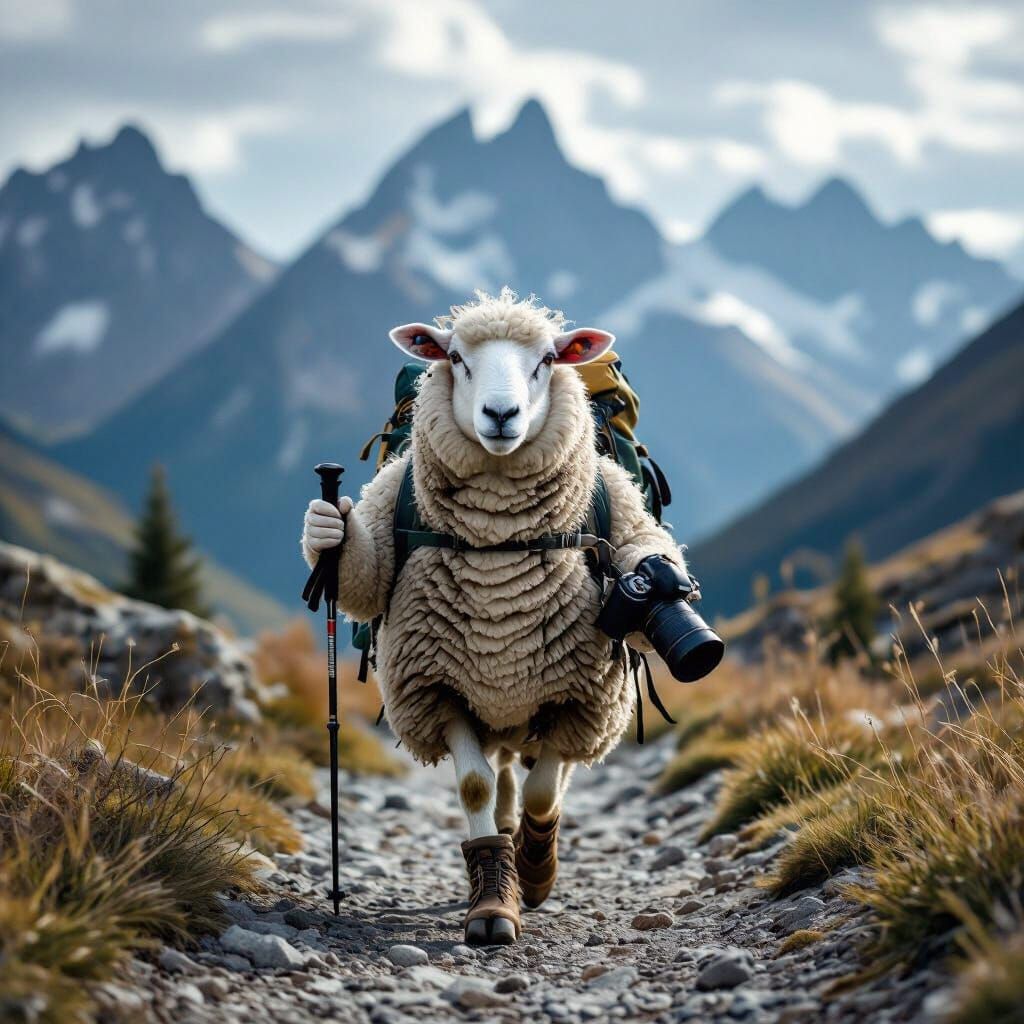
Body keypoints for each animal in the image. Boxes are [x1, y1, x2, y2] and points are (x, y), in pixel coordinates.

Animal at [302, 287, 681, 945]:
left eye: (547, 361)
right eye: (456, 357)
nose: (501, 414)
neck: (499, 550)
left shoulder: (579, 697)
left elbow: (544, 792)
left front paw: (534, 870)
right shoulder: (438, 688)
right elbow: (477, 785)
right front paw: (492, 905)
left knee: (536, 778)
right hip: (490, 703)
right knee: (501, 775)